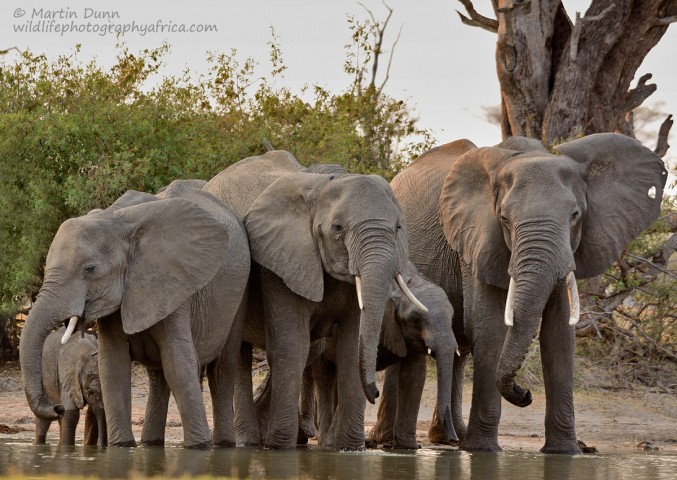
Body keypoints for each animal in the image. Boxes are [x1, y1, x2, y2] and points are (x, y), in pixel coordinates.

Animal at [23, 178, 254, 448]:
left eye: (90, 269)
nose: (57, 408)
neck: (114, 219)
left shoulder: (173, 283)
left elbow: (178, 363)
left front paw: (198, 447)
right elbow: (113, 366)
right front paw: (121, 447)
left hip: (239, 291)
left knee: (221, 369)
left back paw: (223, 445)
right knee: (158, 375)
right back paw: (150, 443)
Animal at [201, 151, 436, 450]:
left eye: (397, 228)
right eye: (337, 228)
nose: (375, 391)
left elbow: (349, 348)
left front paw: (349, 448)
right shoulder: (281, 262)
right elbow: (291, 346)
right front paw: (281, 448)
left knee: (311, 350)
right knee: (243, 354)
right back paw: (250, 442)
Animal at [388, 133, 668, 452]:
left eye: (575, 215)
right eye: (504, 219)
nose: (526, 394)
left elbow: (559, 334)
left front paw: (564, 452)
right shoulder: (476, 240)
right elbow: (489, 327)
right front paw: (482, 451)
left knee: (458, 349)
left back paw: (450, 438)